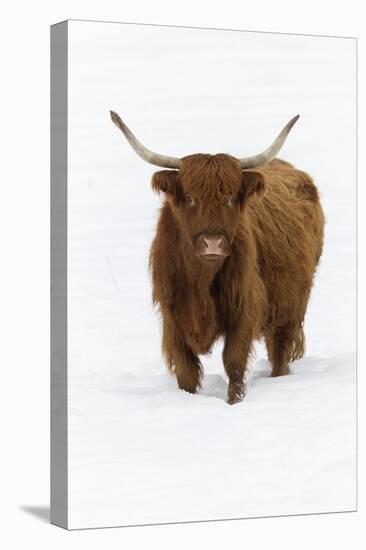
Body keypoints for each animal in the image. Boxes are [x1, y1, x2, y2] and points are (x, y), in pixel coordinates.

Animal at [111, 112, 324, 406]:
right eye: (190, 196)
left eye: (232, 197)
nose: (213, 242)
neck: (201, 279)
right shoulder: (173, 316)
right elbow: (186, 370)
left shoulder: (243, 308)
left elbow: (233, 362)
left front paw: (234, 403)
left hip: (290, 306)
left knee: (279, 350)